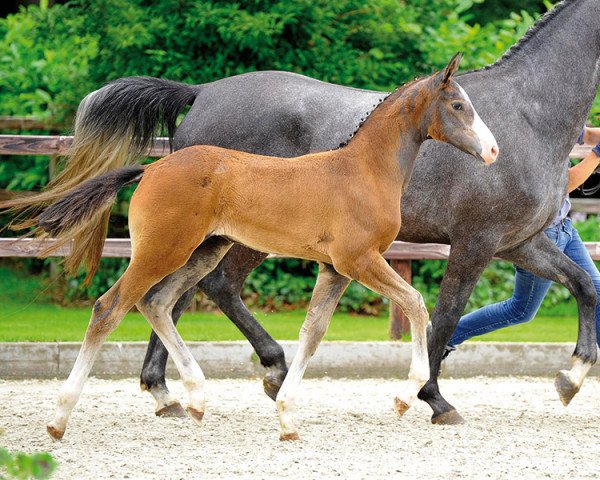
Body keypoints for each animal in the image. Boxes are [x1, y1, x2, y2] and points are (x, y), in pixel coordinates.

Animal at [21, 53, 500, 442]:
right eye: (458, 105)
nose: (493, 150)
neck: (363, 171)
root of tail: (152, 169)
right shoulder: (359, 260)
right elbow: (416, 303)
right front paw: (406, 396)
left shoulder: (334, 269)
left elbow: (312, 333)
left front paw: (287, 417)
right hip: (162, 251)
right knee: (111, 307)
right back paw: (59, 420)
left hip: (204, 251)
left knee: (156, 303)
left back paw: (195, 399)